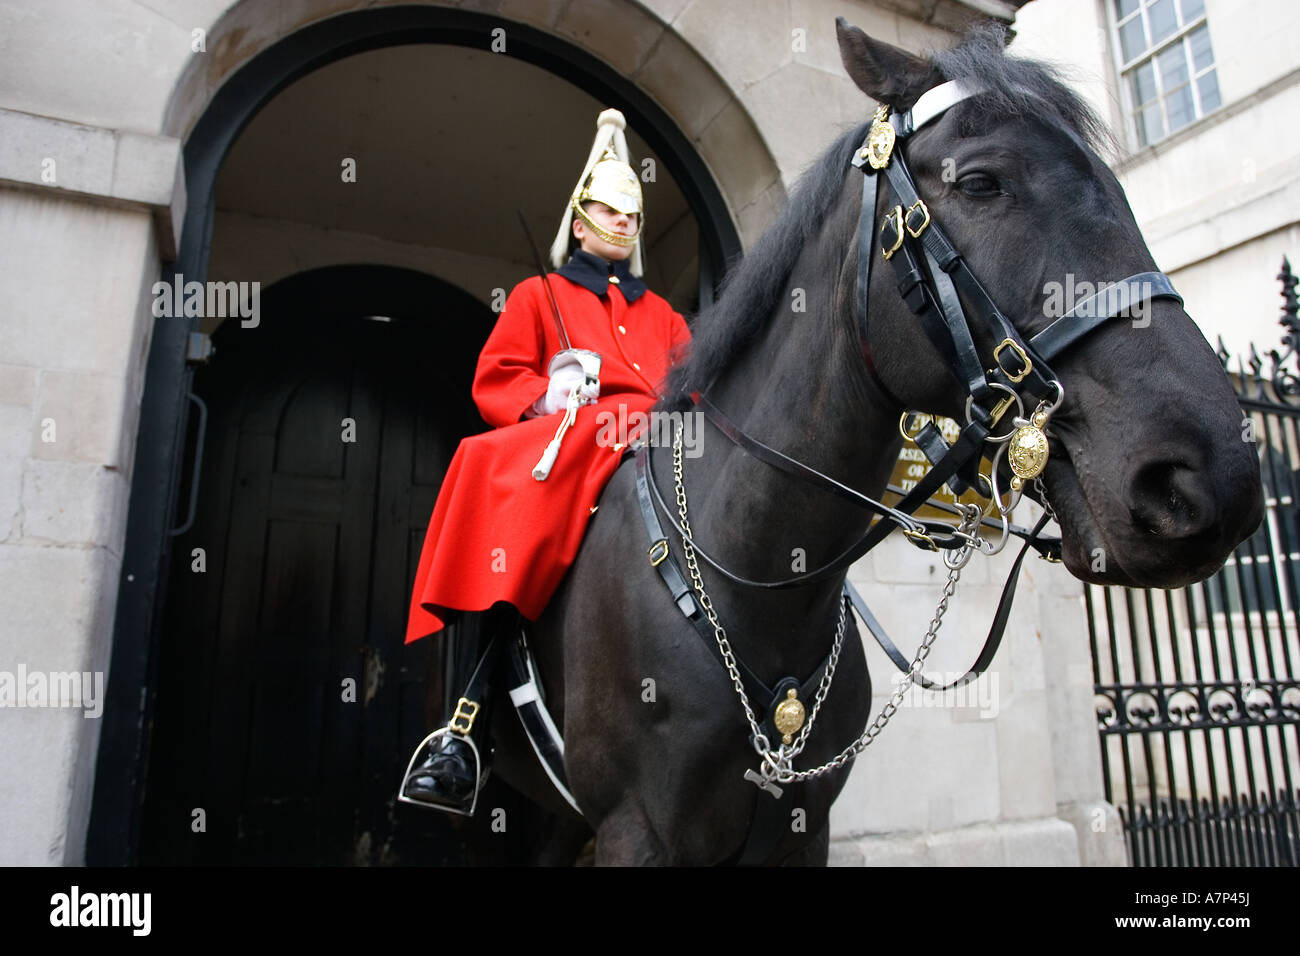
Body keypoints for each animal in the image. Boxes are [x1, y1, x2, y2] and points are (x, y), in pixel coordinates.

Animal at [475, 20, 1258, 868]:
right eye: (981, 182)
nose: (1208, 475)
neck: (763, 588)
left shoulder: (800, 827)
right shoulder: (635, 830)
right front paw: (569, 385)